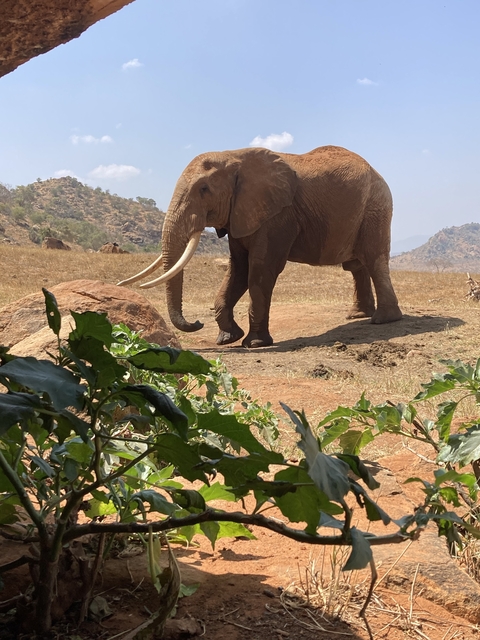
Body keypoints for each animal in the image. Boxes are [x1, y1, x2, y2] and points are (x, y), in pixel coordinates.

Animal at [118, 145, 402, 348]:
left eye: (204, 189)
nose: (197, 322)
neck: (232, 156)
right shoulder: (240, 214)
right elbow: (238, 270)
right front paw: (228, 339)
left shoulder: (278, 216)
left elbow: (261, 270)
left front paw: (254, 343)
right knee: (356, 266)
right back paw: (357, 315)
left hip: (376, 207)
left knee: (374, 260)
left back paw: (383, 320)